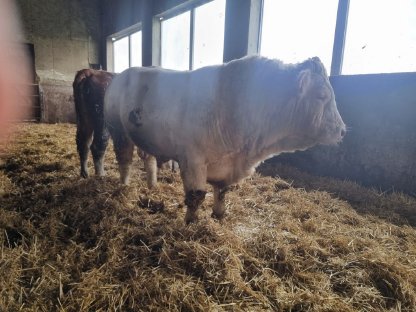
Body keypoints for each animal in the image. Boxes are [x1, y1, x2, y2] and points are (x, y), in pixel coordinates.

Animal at [104, 54, 344, 223]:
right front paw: (191, 222)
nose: (341, 130)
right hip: (118, 130)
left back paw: (151, 185)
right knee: (124, 160)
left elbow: (222, 191)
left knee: (148, 160)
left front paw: (219, 215)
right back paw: (124, 186)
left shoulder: (226, 166)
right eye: (322, 95)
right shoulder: (192, 159)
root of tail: (121, 75)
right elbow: (196, 195)